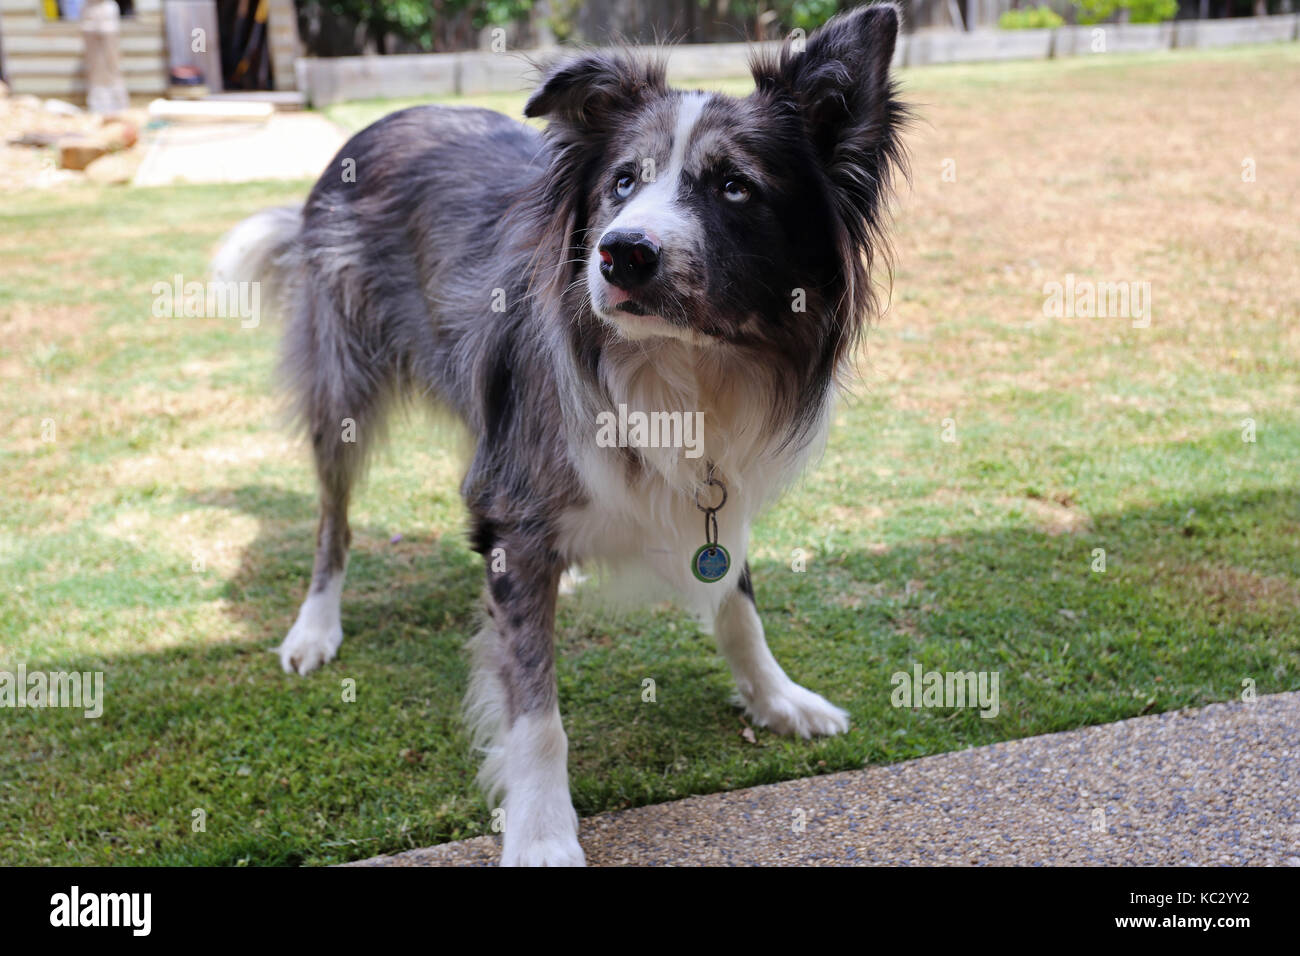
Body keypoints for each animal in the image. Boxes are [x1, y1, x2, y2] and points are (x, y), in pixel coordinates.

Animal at [213, 1, 904, 868]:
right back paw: (315, 627)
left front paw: (778, 698)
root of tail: (381, 120)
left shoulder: (715, 482)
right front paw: (542, 830)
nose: (621, 254)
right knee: (331, 523)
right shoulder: (515, 500)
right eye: (623, 182)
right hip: (342, 387)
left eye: (735, 187)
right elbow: (535, 710)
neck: (679, 370)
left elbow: (737, 599)